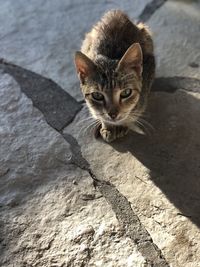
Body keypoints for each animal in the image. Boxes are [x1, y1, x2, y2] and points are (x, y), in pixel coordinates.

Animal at [74, 9, 155, 142]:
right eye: (97, 95)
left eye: (126, 93)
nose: (113, 114)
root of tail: (117, 12)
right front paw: (107, 126)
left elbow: (130, 115)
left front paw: (123, 124)